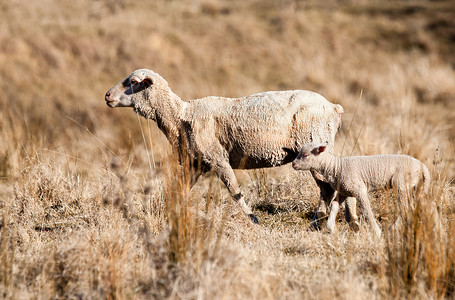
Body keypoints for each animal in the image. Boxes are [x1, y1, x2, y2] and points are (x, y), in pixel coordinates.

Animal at [104, 68, 346, 223]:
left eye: (133, 82)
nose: (107, 95)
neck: (179, 116)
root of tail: (333, 107)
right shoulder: (195, 163)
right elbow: (182, 189)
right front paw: (171, 212)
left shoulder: (218, 158)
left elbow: (234, 190)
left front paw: (253, 219)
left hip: (315, 148)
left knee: (327, 188)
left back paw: (317, 220)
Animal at [292, 143, 432, 237]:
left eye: (305, 155)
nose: (293, 164)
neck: (336, 167)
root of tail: (423, 166)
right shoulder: (344, 190)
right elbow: (334, 206)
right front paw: (331, 228)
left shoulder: (359, 189)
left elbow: (366, 210)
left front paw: (376, 231)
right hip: (416, 186)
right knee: (421, 205)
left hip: (402, 184)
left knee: (405, 208)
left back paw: (392, 230)